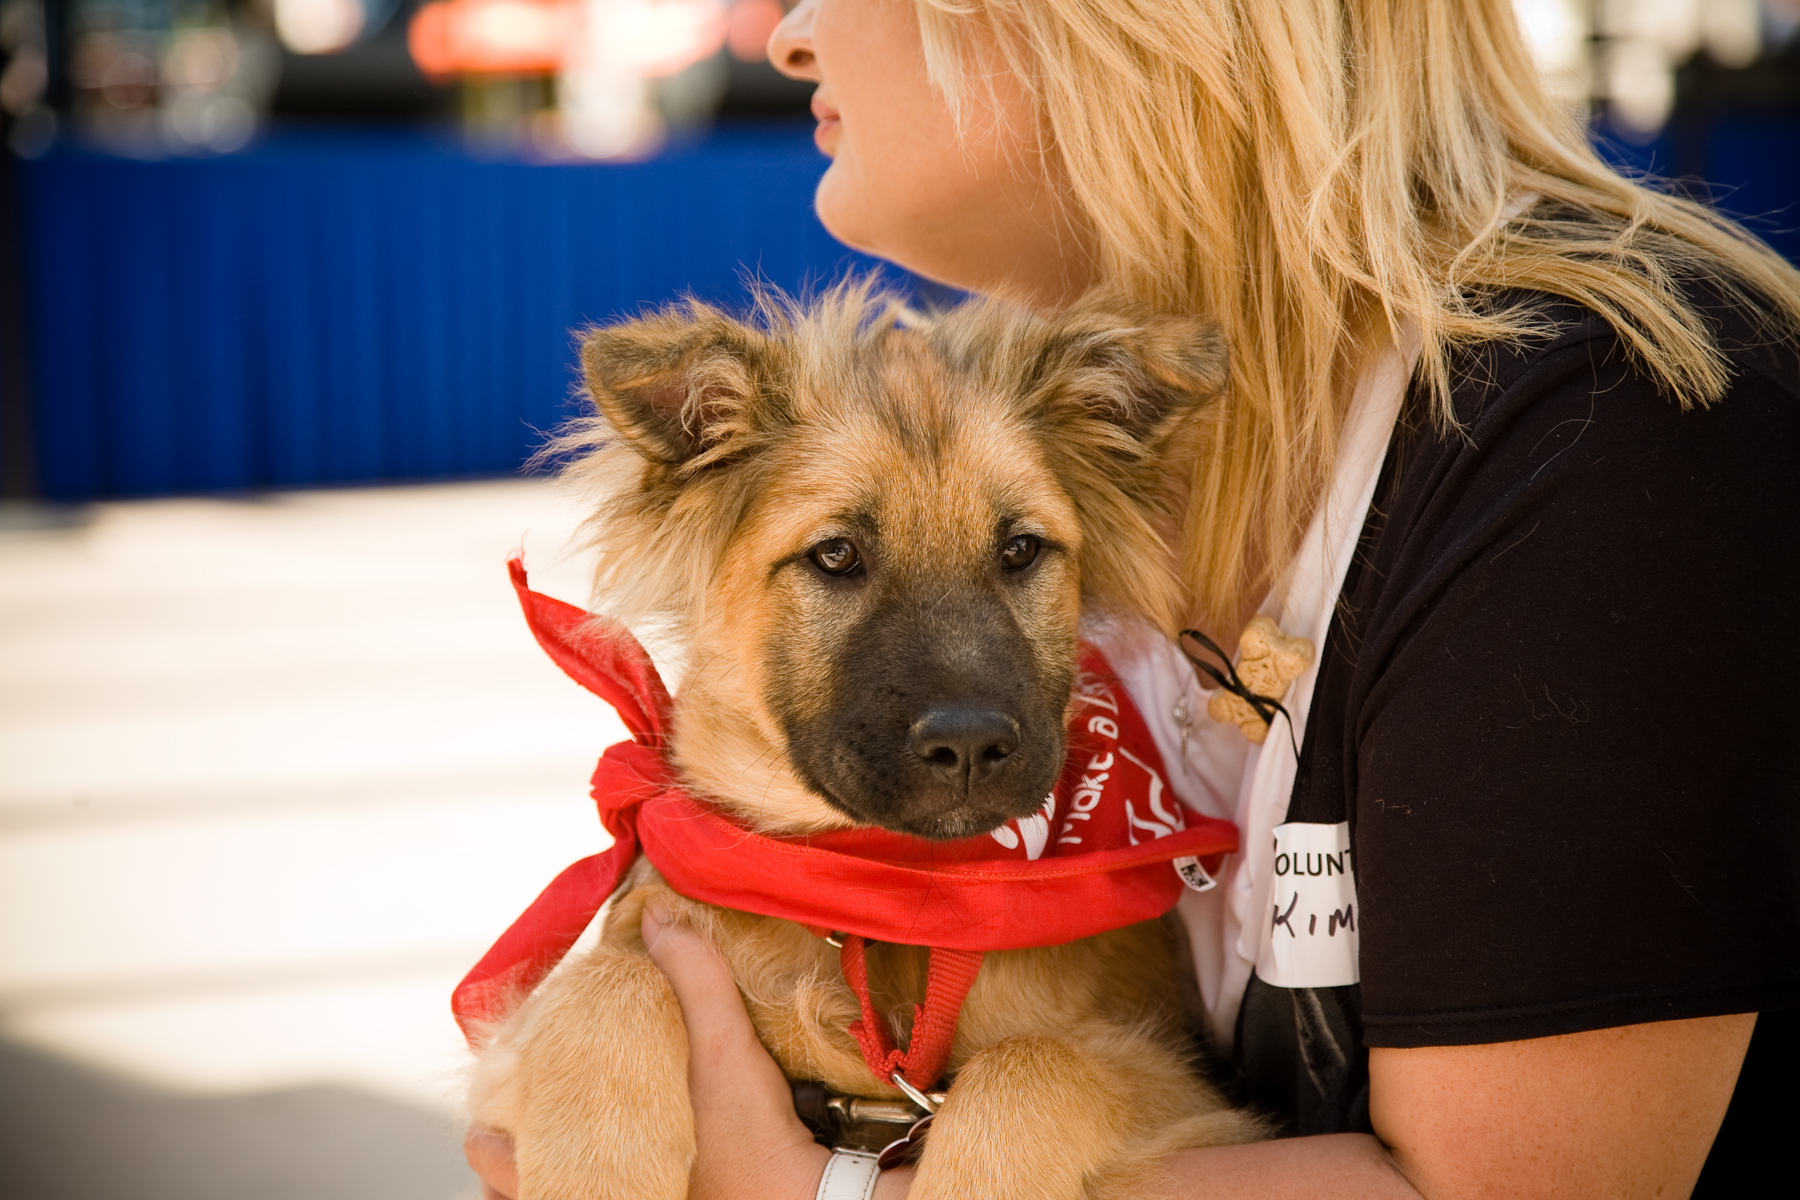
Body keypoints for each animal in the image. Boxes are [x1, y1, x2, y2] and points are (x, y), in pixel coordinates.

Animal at [471, 287, 1274, 1200]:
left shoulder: (1195, 1094)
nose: (970, 746)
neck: (885, 902)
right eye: (836, 555)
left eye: (1021, 549)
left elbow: (1033, 1067)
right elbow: (606, 982)